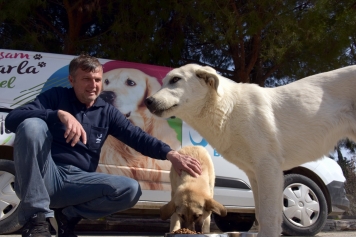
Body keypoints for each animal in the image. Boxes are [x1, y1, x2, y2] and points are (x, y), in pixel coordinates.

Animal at [145, 63, 356, 237]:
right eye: (165, 81)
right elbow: (261, 215)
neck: (228, 109)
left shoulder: (269, 170)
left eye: (175, 80)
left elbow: (270, 215)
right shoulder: (254, 175)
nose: (147, 101)